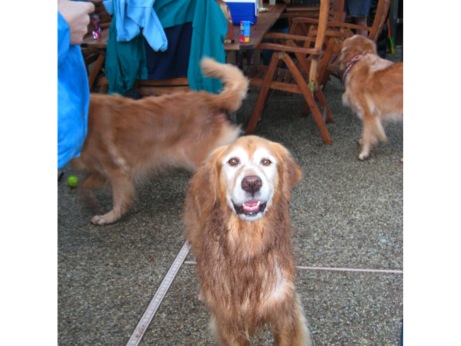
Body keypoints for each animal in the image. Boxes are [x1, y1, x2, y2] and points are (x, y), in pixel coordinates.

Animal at [71, 58, 248, 226]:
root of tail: (209, 99)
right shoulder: (100, 170)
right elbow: (83, 184)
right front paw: (90, 201)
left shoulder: (117, 170)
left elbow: (119, 199)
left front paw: (109, 217)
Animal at [182, 135, 310, 346]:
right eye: (233, 161)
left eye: (266, 162)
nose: (251, 183)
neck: (249, 241)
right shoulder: (229, 321)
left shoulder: (284, 311)